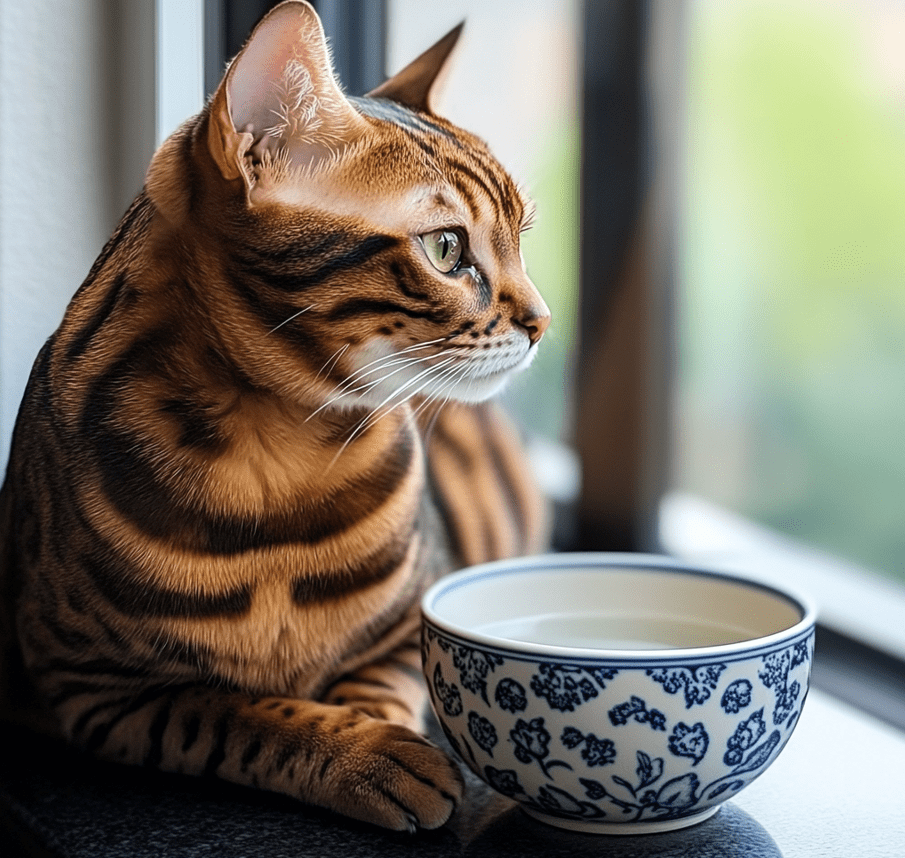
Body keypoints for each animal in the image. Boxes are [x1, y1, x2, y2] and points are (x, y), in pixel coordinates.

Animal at [0, 0, 552, 828]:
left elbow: (376, 688)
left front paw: (377, 733)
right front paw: (363, 754)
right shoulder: (92, 688)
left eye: (520, 238)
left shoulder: (405, 634)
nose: (544, 321)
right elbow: (235, 713)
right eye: (447, 249)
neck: (278, 454)